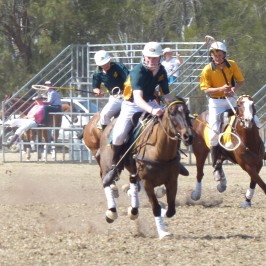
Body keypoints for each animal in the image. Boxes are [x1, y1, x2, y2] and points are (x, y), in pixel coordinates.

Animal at [97, 97, 193, 239]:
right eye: (172, 113)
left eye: (187, 112)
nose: (188, 136)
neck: (159, 151)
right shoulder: (148, 182)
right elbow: (156, 207)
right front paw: (163, 232)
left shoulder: (172, 181)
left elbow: (171, 210)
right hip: (107, 164)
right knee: (106, 181)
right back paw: (112, 212)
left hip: (133, 169)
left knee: (132, 180)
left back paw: (133, 210)